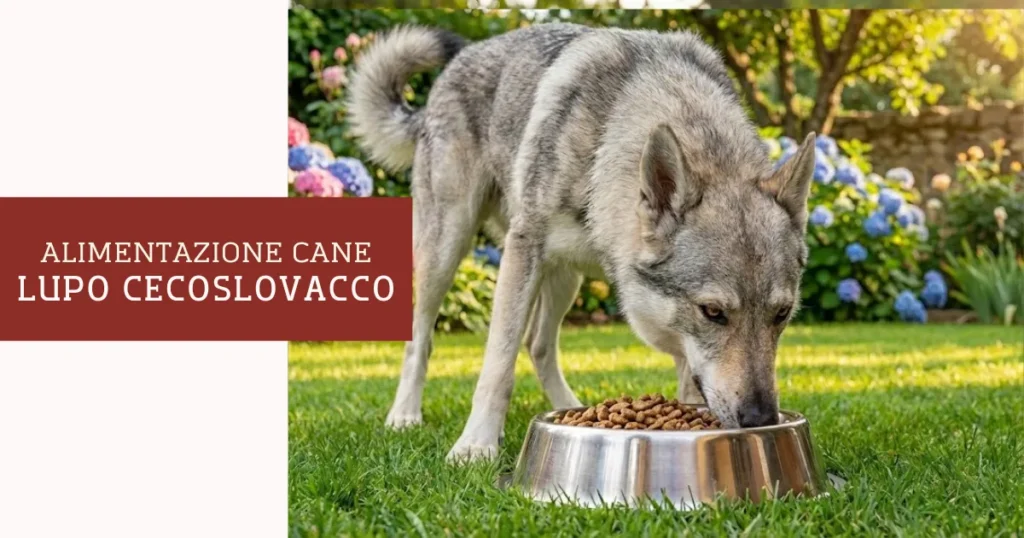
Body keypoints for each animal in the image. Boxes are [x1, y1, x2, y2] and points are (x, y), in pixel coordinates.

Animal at [348, 23, 816, 462]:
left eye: (782, 314)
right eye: (714, 312)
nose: (761, 418)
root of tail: (460, 60)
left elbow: (687, 371)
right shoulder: (524, 249)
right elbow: (498, 363)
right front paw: (476, 445)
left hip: (564, 277)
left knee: (538, 345)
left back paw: (571, 407)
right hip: (449, 248)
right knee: (421, 338)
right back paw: (405, 415)